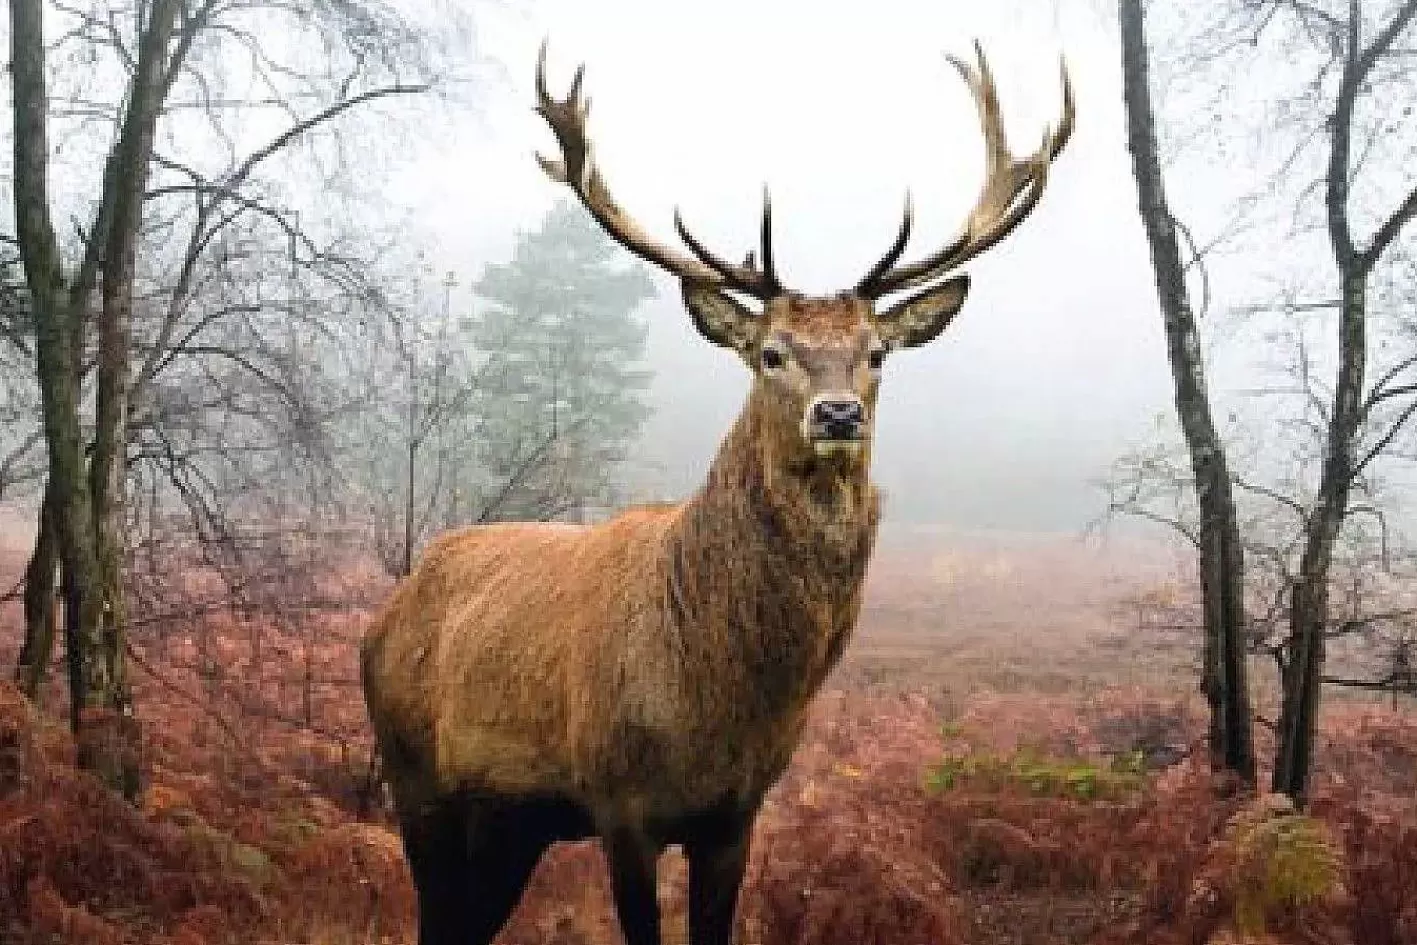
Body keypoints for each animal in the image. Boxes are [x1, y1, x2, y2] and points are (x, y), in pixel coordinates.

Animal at [362, 38, 1071, 945]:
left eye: (876, 352)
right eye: (771, 351)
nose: (836, 413)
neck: (717, 700)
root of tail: (388, 611)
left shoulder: (735, 813)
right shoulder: (618, 802)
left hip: (508, 822)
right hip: (413, 776)